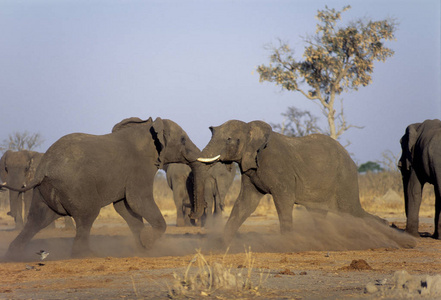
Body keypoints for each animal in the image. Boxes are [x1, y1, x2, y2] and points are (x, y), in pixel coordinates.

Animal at [3, 116, 206, 258]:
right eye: (182, 139)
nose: (192, 215)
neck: (149, 129)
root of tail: (44, 168)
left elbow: (124, 207)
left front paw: (142, 248)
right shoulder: (139, 168)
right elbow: (137, 200)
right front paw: (148, 243)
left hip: (44, 191)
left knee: (37, 220)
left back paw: (13, 255)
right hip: (76, 186)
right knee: (87, 215)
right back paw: (87, 255)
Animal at [191, 119, 384, 246]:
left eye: (229, 139)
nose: (193, 216)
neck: (251, 127)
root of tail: (350, 158)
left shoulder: (280, 169)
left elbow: (283, 200)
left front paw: (286, 243)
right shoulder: (249, 169)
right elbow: (245, 203)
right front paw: (222, 244)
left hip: (345, 178)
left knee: (350, 211)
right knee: (320, 213)